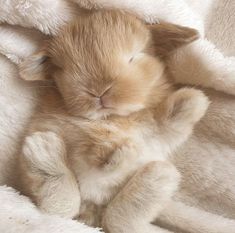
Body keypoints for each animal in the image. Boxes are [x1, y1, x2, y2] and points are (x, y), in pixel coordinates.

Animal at [18, 9, 209, 233]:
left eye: (133, 57)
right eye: (66, 69)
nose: (99, 92)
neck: (114, 117)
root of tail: (93, 214)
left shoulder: (156, 136)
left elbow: (166, 123)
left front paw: (193, 100)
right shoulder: (62, 129)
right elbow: (91, 151)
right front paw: (114, 149)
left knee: (117, 220)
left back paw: (158, 176)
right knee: (66, 208)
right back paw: (43, 149)